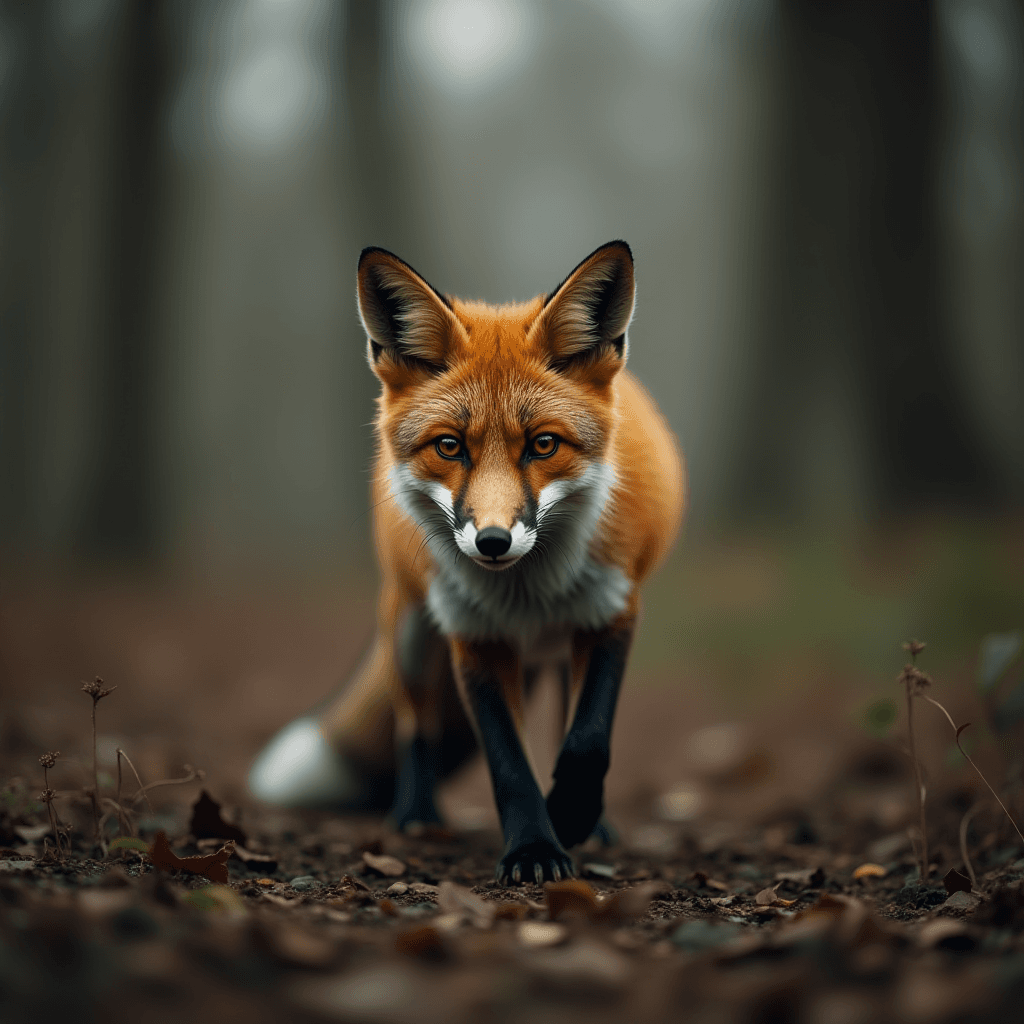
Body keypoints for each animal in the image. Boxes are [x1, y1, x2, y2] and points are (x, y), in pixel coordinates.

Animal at [248, 241, 684, 888]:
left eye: (543, 444)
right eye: (450, 447)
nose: (494, 542)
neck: (529, 594)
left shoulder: (612, 610)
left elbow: (587, 740)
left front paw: (570, 815)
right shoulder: (474, 636)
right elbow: (508, 764)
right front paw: (534, 848)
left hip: (558, 645)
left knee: (564, 722)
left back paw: (594, 824)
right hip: (410, 632)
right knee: (415, 727)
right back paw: (416, 815)